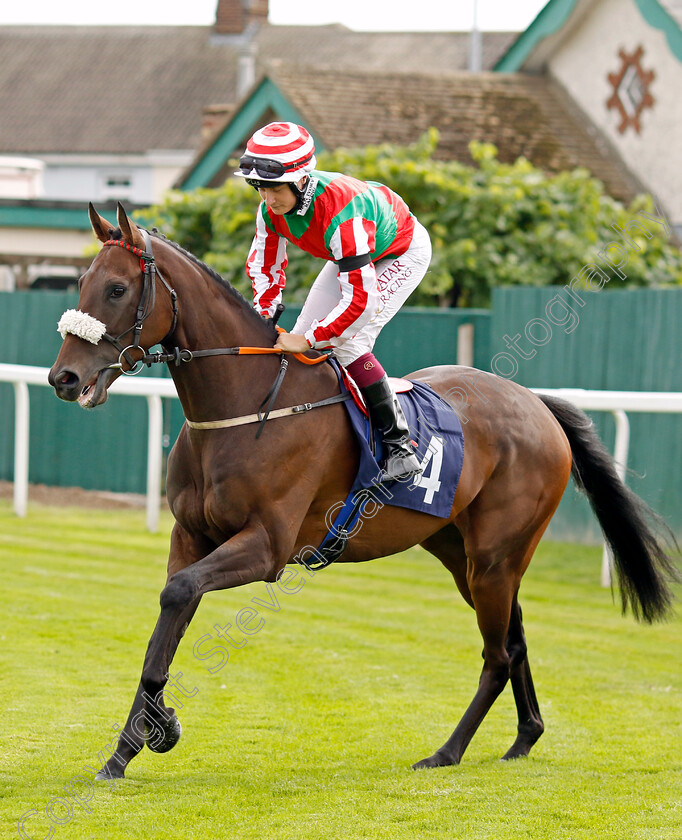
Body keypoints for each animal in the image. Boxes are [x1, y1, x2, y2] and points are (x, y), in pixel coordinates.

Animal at [47, 203, 676, 780]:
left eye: (117, 288)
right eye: (80, 283)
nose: (63, 379)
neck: (246, 403)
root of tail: (537, 404)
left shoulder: (267, 547)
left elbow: (177, 598)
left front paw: (159, 727)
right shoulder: (191, 536)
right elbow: (169, 616)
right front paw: (129, 746)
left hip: (497, 557)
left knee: (497, 656)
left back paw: (445, 753)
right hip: (464, 555)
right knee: (515, 639)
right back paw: (524, 738)